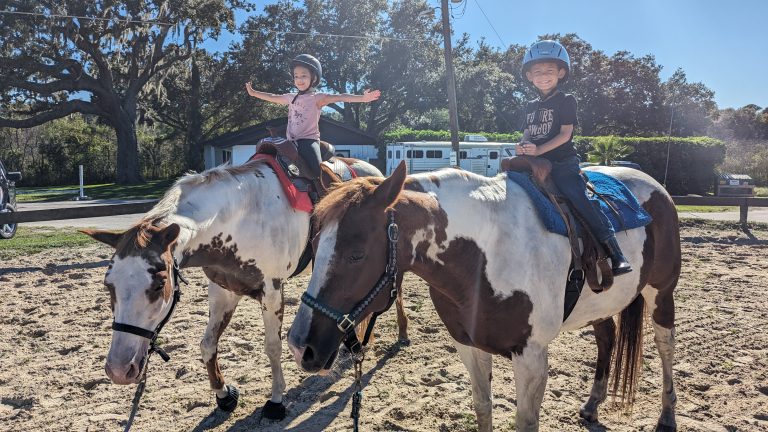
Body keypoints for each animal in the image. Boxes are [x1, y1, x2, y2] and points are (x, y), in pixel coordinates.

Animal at [82, 158, 408, 418]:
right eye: (108, 284)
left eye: (160, 282)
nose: (118, 370)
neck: (239, 217)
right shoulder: (223, 289)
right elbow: (208, 344)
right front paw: (224, 395)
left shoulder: (272, 292)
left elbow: (273, 347)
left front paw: (276, 401)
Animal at [286, 162, 680, 432]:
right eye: (315, 246)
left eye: (357, 254)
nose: (299, 345)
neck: (484, 254)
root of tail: (655, 186)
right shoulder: (469, 346)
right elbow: (483, 407)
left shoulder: (531, 357)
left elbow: (525, 422)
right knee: (607, 338)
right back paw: (592, 405)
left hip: (662, 294)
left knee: (665, 347)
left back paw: (666, 416)